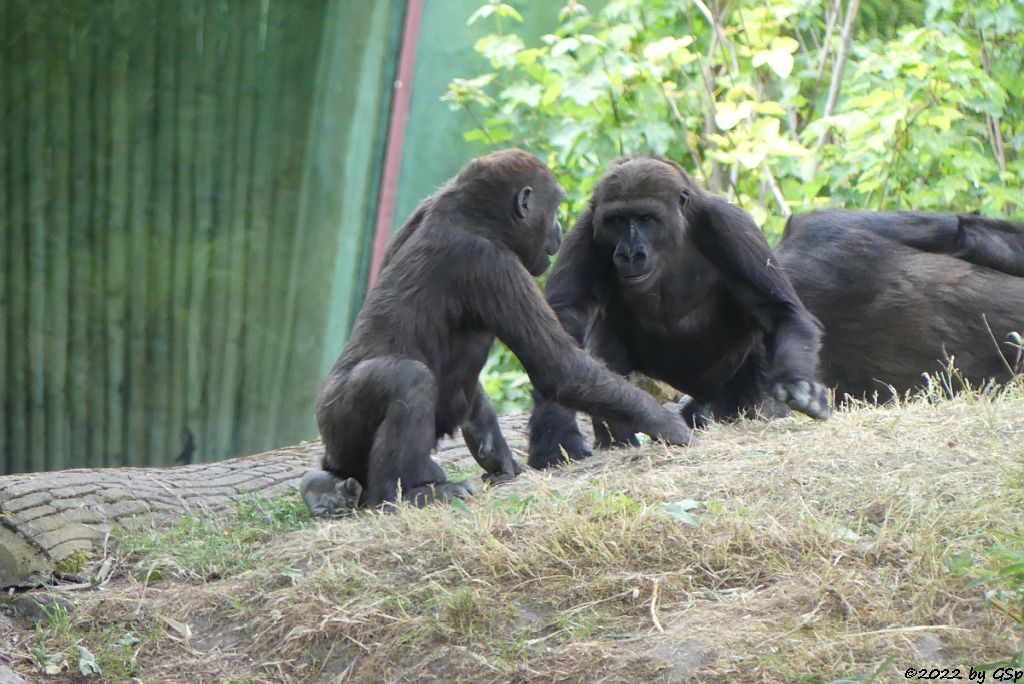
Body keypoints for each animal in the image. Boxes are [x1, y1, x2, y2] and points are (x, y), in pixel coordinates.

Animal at [299, 148, 692, 511]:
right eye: (553, 208)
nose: (559, 230)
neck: (468, 216)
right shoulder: (492, 263)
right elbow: (560, 367)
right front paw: (664, 424)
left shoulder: (421, 212)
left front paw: (496, 453)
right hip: (335, 420)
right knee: (406, 379)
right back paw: (403, 494)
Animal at [524, 156, 827, 471]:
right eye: (616, 221)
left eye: (646, 219)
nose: (630, 254)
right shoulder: (586, 229)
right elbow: (562, 327)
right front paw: (556, 433)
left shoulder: (730, 225)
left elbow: (781, 313)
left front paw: (798, 383)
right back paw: (620, 439)